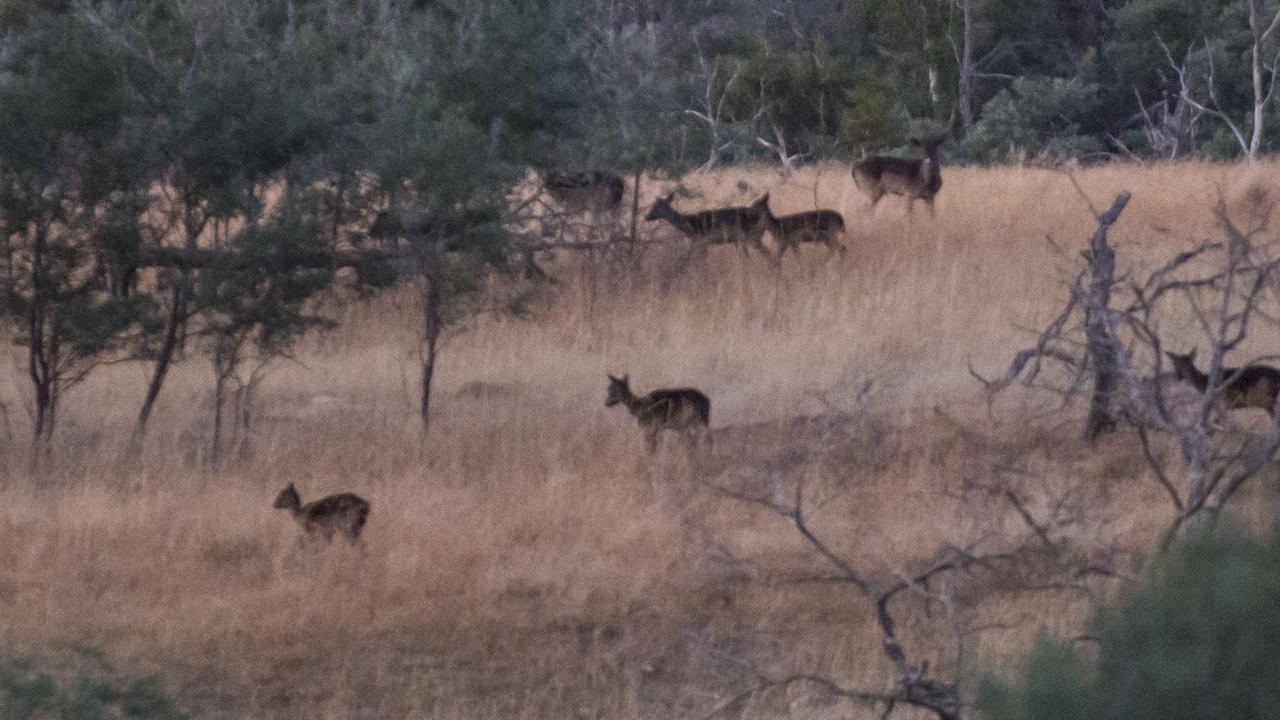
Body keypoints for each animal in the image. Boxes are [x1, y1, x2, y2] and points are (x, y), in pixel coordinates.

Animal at [640, 192, 768, 256]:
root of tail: (759, 217)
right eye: (654, 205)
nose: (646, 216)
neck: (689, 225)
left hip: (751, 235)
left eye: (657, 206)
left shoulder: (702, 240)